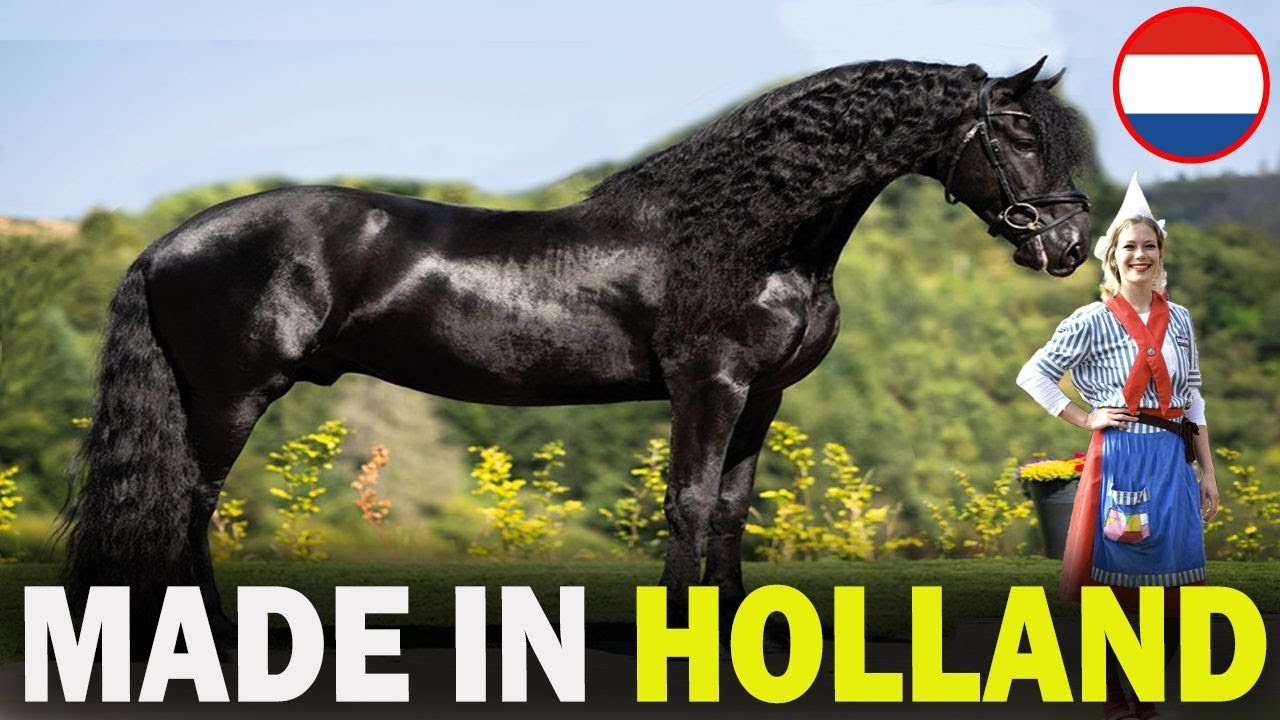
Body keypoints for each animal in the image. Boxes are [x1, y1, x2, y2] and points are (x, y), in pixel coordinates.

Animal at [63, 57, 1093, 658]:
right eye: (1016, 132)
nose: (1069, 247)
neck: (744, 233)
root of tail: (169, 244)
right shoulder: (707, 387)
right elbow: (688, 505)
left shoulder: (760, 398)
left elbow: (731, 513)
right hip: (231, 395)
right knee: (191, 507)